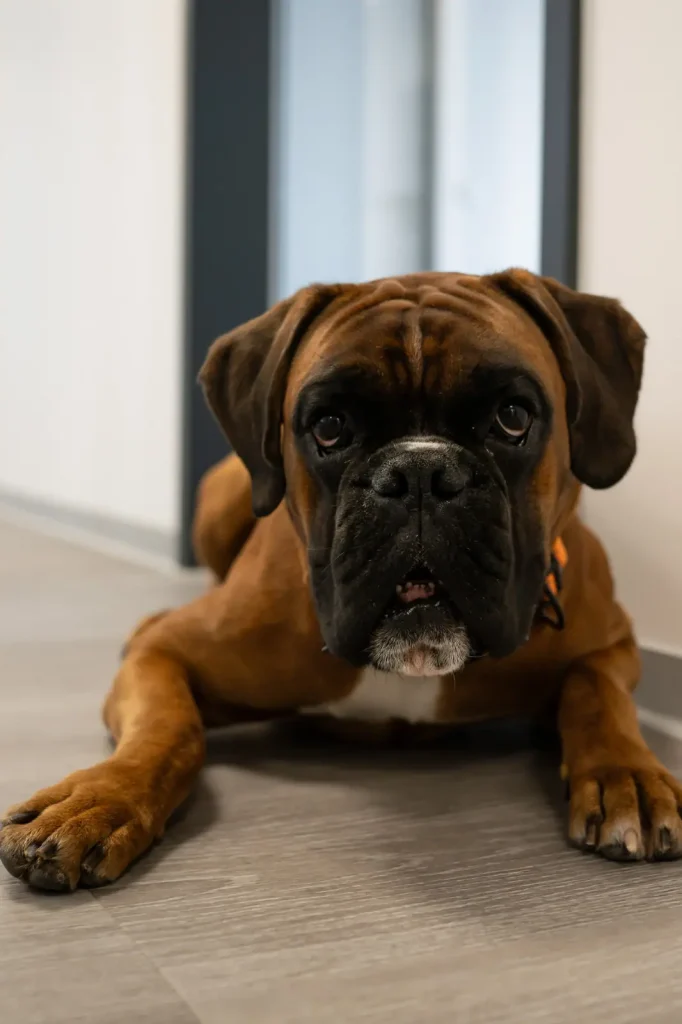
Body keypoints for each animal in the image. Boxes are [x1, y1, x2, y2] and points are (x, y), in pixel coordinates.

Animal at [2, 268, 675, 892]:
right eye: (328, 427)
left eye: (512, 417)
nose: (420, 471)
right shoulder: (165, 656)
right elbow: (169, 728)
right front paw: (99, 798)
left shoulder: (611, 644)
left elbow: (597, 694)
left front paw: (626, 774)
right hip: (224, 496)